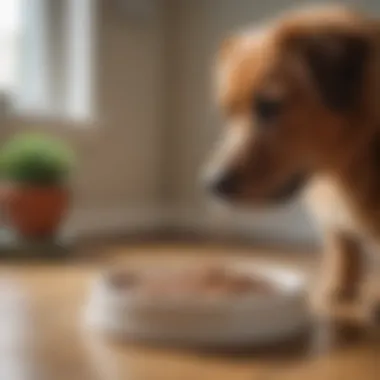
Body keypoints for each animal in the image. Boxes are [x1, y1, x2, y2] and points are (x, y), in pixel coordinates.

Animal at [205, 4, 380, 316]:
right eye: (227, 112)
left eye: (269, 106)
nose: (213, 184)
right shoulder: (334, 221)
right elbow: (343, 247)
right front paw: (337, 290)